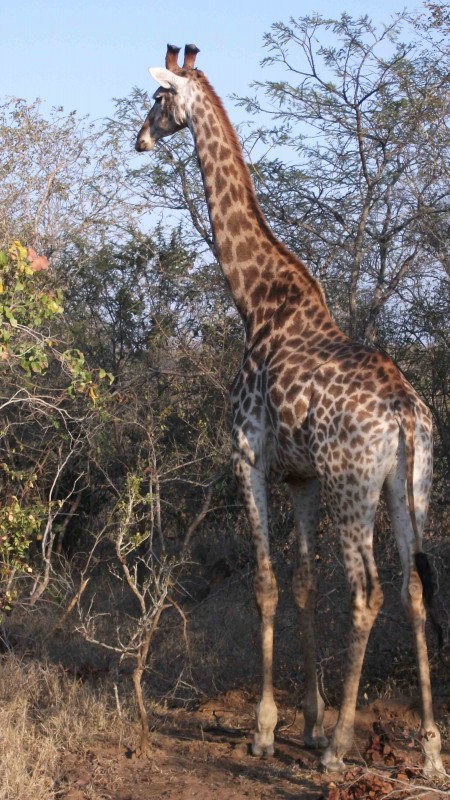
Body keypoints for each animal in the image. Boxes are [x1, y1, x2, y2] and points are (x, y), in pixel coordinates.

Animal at [135, 43, 444, 776]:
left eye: (158, 100)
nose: (139, 139)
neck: (256, 303)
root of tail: (402, 414)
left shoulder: (247, 454)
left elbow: (268, 584)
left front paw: (269, 730)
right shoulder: (301, 477)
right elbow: (302, 582)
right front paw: (308, 718)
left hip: (353, 485)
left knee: (366, 593)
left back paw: (339, 751)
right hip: (409, 486)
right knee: (415, 588)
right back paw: (430, 751)